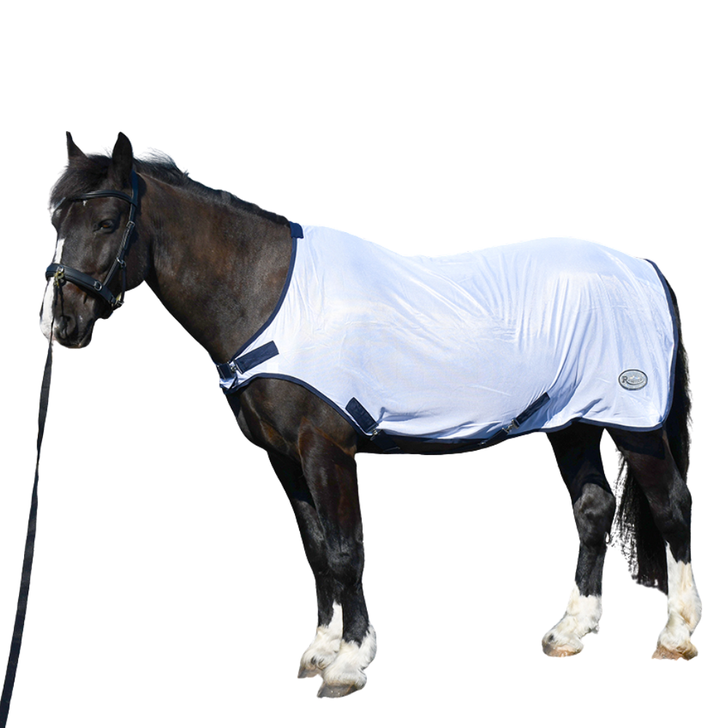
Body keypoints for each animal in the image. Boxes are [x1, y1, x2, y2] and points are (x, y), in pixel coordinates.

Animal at [39, 132, 701, 698]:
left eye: (106, 222)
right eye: (55, 222)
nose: (60, 323)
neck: (268, 294)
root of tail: (642, 268)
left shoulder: (326, 449)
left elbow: (345, 549)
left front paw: (350, 662)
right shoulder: (285, 457)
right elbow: (314, 549)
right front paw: (320, 649)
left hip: (633, 422)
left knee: (671, 504)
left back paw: (676, 632)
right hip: (573, 424)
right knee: (593, 508)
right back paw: (570, 631)